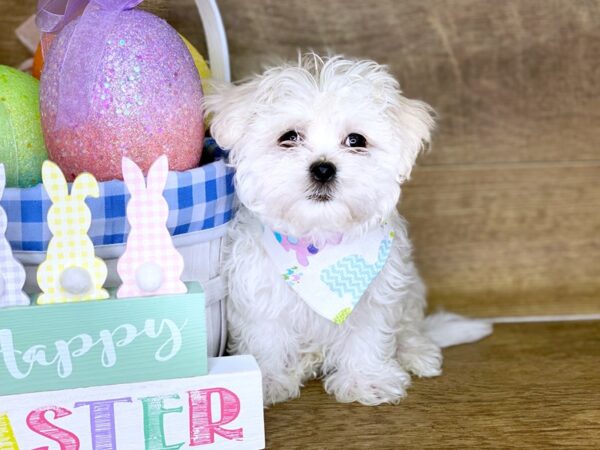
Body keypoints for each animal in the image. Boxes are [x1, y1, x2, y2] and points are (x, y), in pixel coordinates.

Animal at [204, 54, 490, 406]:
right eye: (289, 137)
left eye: (356, 140)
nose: (323, 169)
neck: (320, 236)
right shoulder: (259, 292)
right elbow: (266, 337)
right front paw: (267, 380)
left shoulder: (375, 295)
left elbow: (367, 335)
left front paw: (367, 380)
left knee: (410, 329)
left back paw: (417, 353)